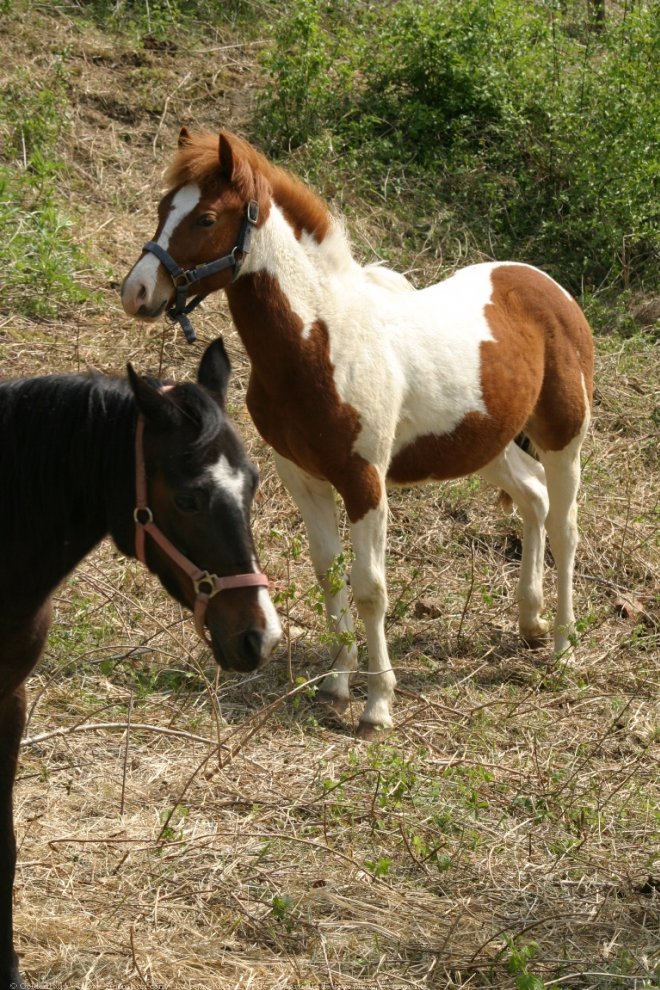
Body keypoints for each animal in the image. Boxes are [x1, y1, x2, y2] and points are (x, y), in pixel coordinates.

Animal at [121, 128, 596, 740]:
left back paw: (562, 649)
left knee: (564, 527)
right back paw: (530, 622)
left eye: (204, 218)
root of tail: (546, 285)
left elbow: (370, 588)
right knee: (534, 497)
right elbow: (329, 575)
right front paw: (337, 683)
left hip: (564, 437)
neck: (322, 340)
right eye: (163, 209)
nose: (137, 292)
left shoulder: (364, 479)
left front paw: (378, 705)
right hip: (486, 444)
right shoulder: (302, 477)